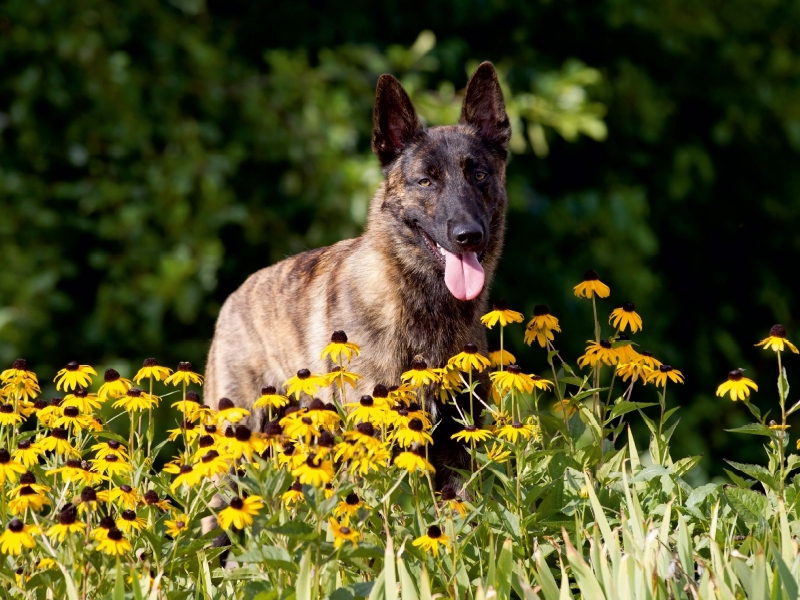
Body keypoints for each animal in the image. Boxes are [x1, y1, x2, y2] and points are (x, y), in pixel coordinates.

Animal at [203, 61, 510, 486]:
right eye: (426, 180)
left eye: (478, 175)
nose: (468, 236)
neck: (423, 308)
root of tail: (234, 297)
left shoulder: (457, 447)